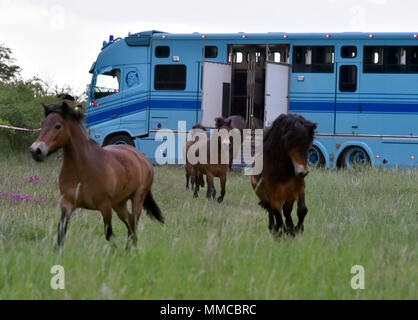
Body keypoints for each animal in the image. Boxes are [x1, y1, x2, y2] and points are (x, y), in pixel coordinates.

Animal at [29, 101, 163, 249]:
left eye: (58, 126)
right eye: (42, 124)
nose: (36, 150)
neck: (83, 170)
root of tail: (142, 158)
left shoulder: (105, 207)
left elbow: (109, 234)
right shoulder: (67, 203)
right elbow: (61, 232)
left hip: (137, 198)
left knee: (133, 222)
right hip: (119, 203)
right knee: (130, 222)